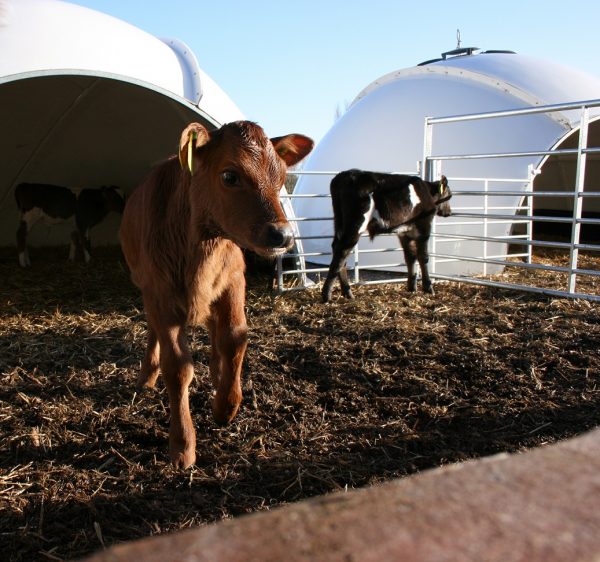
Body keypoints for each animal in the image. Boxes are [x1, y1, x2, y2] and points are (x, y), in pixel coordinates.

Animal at [119, 120, 312, 466]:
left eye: (280, 177)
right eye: (229, 176)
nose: (283, 234)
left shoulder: (233, 280)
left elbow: (235, 338)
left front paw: (226, 406)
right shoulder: (160, 293)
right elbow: (177, 366)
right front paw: (182, 444)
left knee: (215, 331)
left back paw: (217, 371)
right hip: (144, 286)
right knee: (153, 330)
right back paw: (147, 376)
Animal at [322, 168, 452, 302]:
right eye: (449, 195)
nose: (449, 212)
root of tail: (345, 175)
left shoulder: (405, 232)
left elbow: (410, 257)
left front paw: (412, 288)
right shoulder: (424, 226)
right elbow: (423, 257)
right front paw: (428, 288)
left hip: (339, 223)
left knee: (338, 250)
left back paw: (347, 293)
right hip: (355, 224)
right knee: (342, 252)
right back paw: (327, 295)